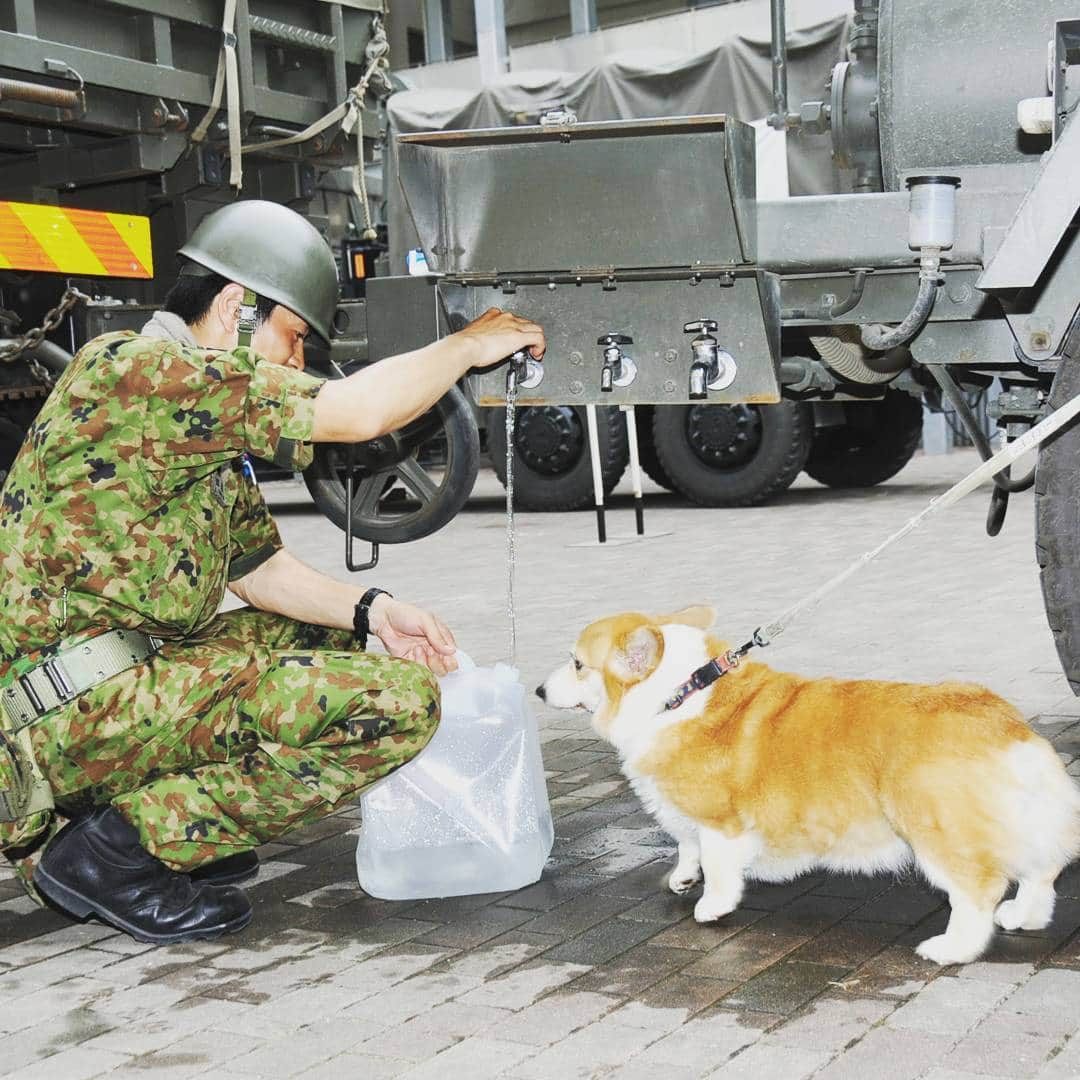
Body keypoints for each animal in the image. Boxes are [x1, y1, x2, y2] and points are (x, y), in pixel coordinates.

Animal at [537, 604, 1080, 967]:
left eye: (578, 664)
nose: (538, 690)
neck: (678, 694)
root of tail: (1005, 725)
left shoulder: (721, 824)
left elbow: (718, 867)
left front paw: (711, 906)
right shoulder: (687, 821)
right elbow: (686, 849)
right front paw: (682, 879)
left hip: (936, 834)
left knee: (979, 890)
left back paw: (951, 948)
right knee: (1042, 871)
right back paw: (1024, 916)